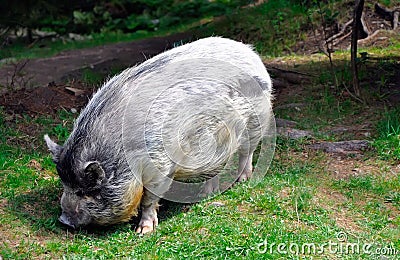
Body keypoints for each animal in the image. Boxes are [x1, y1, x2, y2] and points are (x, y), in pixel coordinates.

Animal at [45, 36, 274, 234]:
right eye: (65, 184)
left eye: (85, 191)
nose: (63, 221)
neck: (123, 154)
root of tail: (251, 53)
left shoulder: (160, 165)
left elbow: (149, 199)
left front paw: (143, 231)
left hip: (256, 120)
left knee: (247, 152)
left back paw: (242, 181)